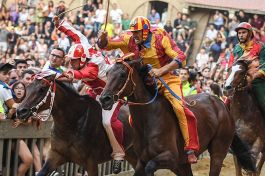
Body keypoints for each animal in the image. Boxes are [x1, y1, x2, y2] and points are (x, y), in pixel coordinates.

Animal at [98, 57, 255, 175]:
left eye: (122, 75)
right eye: (107, 73)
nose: (104, 99)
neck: (148, 119)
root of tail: (221, 103)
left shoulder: (170, 157)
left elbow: (151, 166)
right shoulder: (142, 160)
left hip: (219, 148)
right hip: (183, 164)